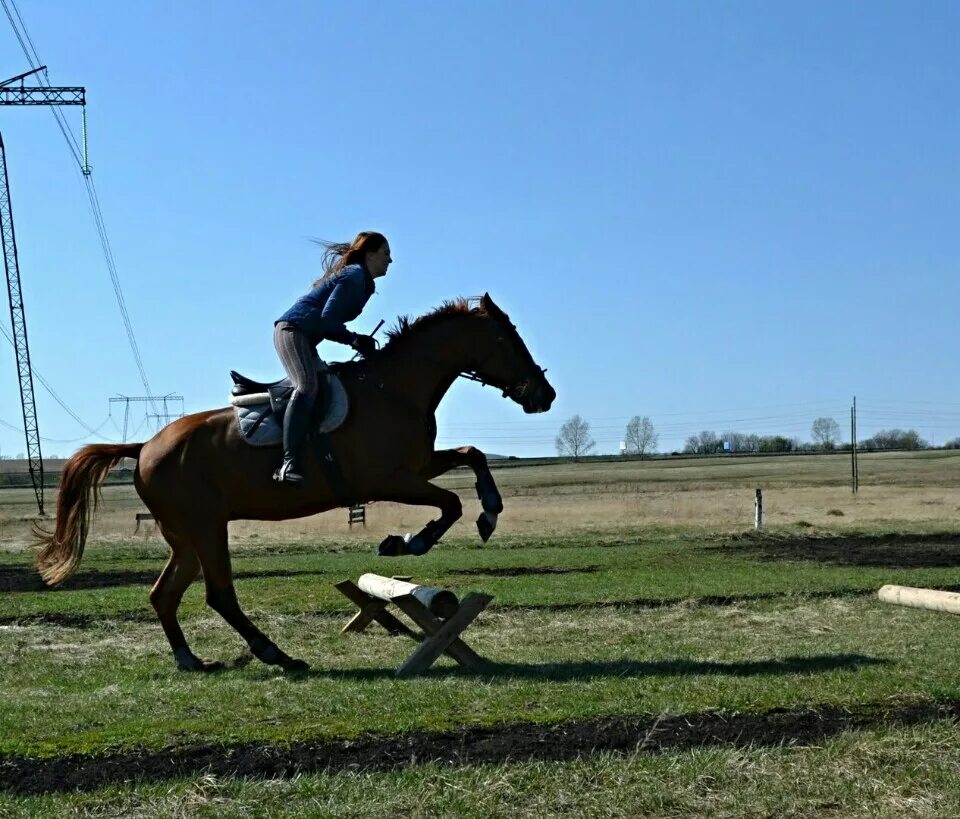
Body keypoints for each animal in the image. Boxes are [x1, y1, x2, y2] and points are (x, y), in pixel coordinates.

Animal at [35, 294, 556, 672]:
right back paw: (277, 655)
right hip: (206, 528)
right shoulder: (388, 479)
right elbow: (449, 504)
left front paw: (490, 510)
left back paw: (191, 659)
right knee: (219, 595)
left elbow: (474, 456)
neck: (393, 390)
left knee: (165, 594)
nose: (544, 394)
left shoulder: (419, 465)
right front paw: (407, 541)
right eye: (509, 339)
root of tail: (143, 445)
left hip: (185, 536)